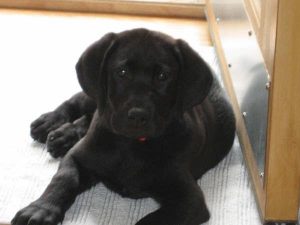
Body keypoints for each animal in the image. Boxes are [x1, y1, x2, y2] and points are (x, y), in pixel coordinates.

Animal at [11, 28, 236, 225]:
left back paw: (65, 135)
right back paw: (51, 122)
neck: (132, 144)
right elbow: (63, 180)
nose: (138, 116)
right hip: (96, 94)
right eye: (122, 72)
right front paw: (40, 209)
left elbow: (151, 221)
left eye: (163, 76)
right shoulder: (77, 158)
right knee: (78, 102)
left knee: (88, 118)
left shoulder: (189, 200)